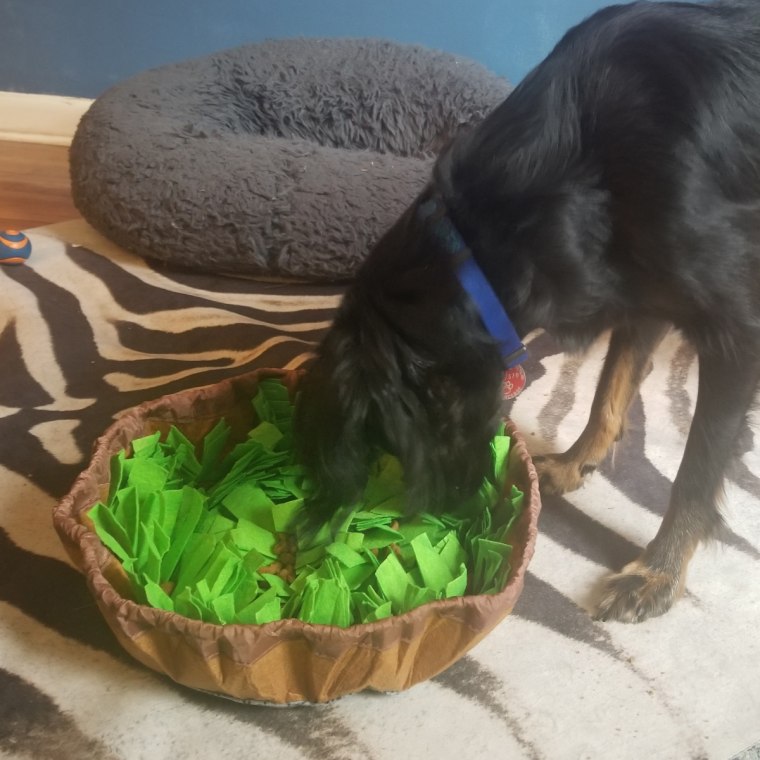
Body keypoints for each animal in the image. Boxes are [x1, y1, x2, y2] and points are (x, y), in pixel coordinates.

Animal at [294, 1, 760, 624]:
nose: (453, 512)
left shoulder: (734, 329)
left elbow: (695, 470)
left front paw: (658, 573)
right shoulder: (640, 291)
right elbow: (608, 390)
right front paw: (575, 462)